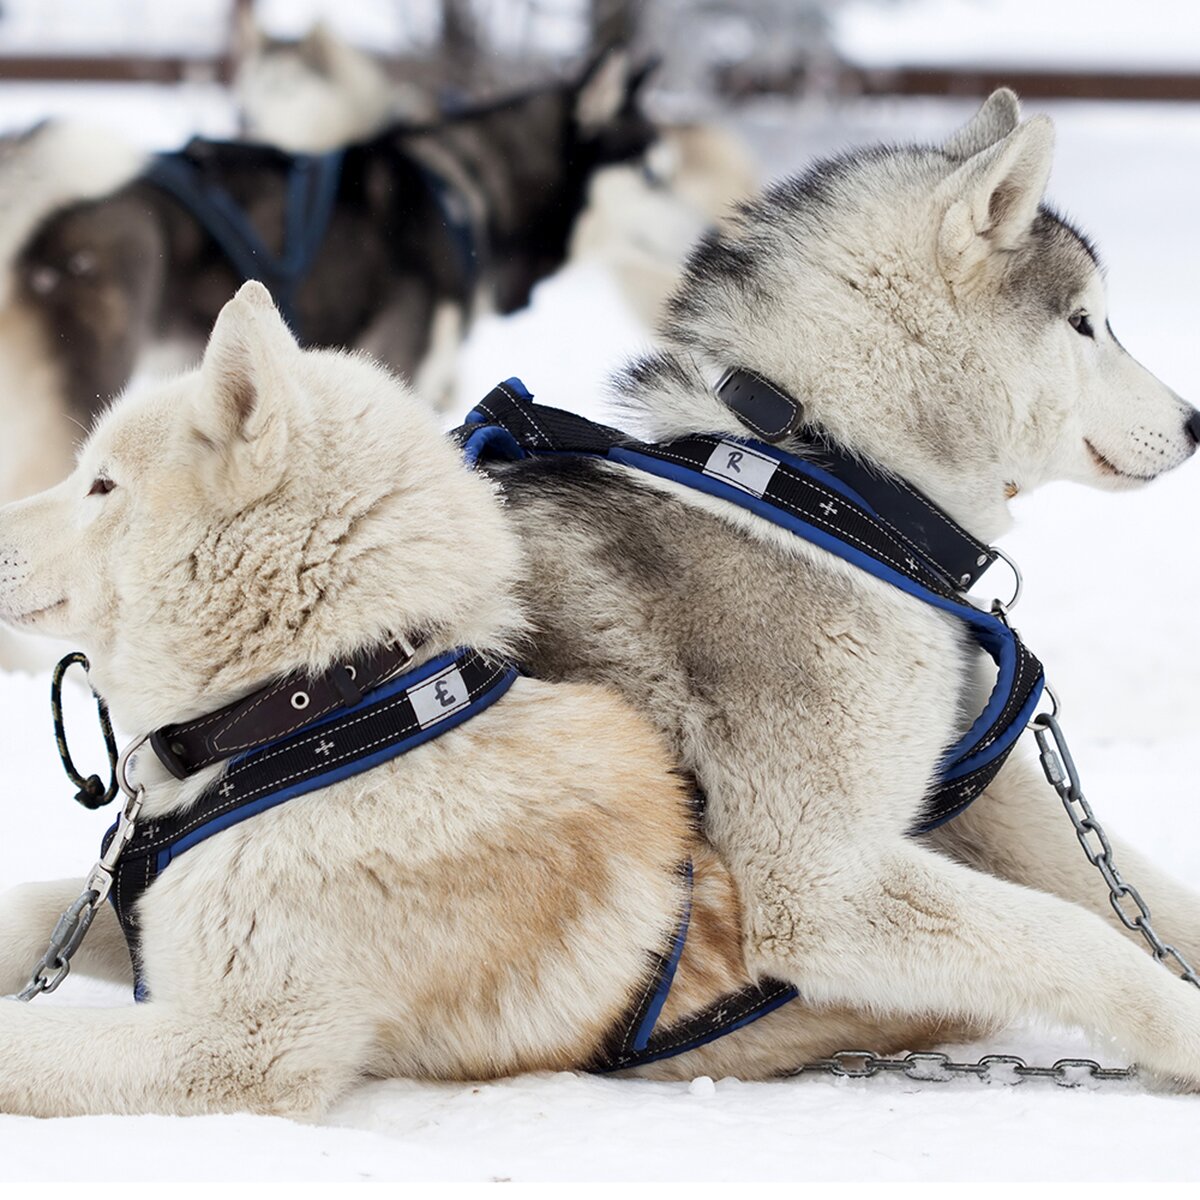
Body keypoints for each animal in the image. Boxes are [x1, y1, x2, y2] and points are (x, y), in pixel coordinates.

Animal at [482, 91, 1200, 1089]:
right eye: (1086, 324)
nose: (1196, 423)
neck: (826, 481)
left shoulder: (970, 782)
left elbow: (1145, 891)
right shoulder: (823, 882)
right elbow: (1079, 939)